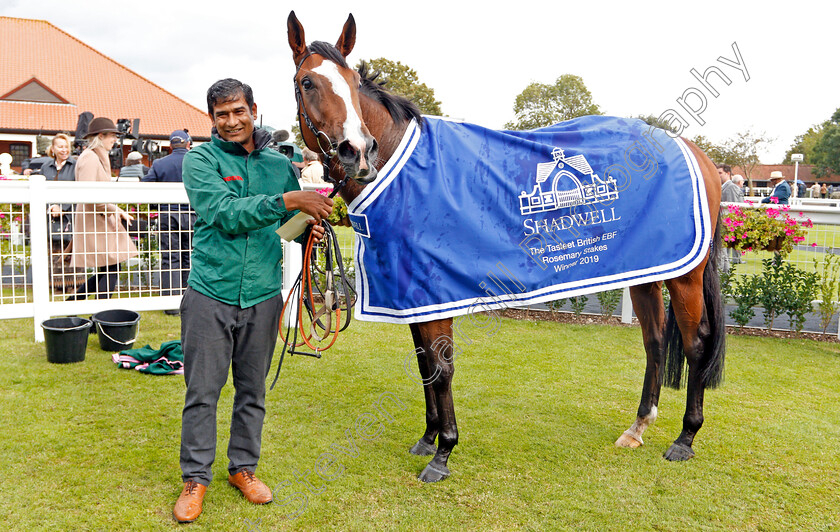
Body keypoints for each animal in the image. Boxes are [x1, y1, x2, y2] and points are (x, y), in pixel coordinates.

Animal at [286, 10, 724, 484]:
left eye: (351, 81)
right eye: (307, 82)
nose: (357, 151)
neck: (403, 173)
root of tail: (692, 150)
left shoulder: (436, 293)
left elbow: (442, 367)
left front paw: (444, 452)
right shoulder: (412, 296)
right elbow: (424, 366)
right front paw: (428, 438)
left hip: (686, 276)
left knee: (696, 342)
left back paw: (685, 438)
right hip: (645, 271)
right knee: (655, 341)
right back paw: (638, 426)